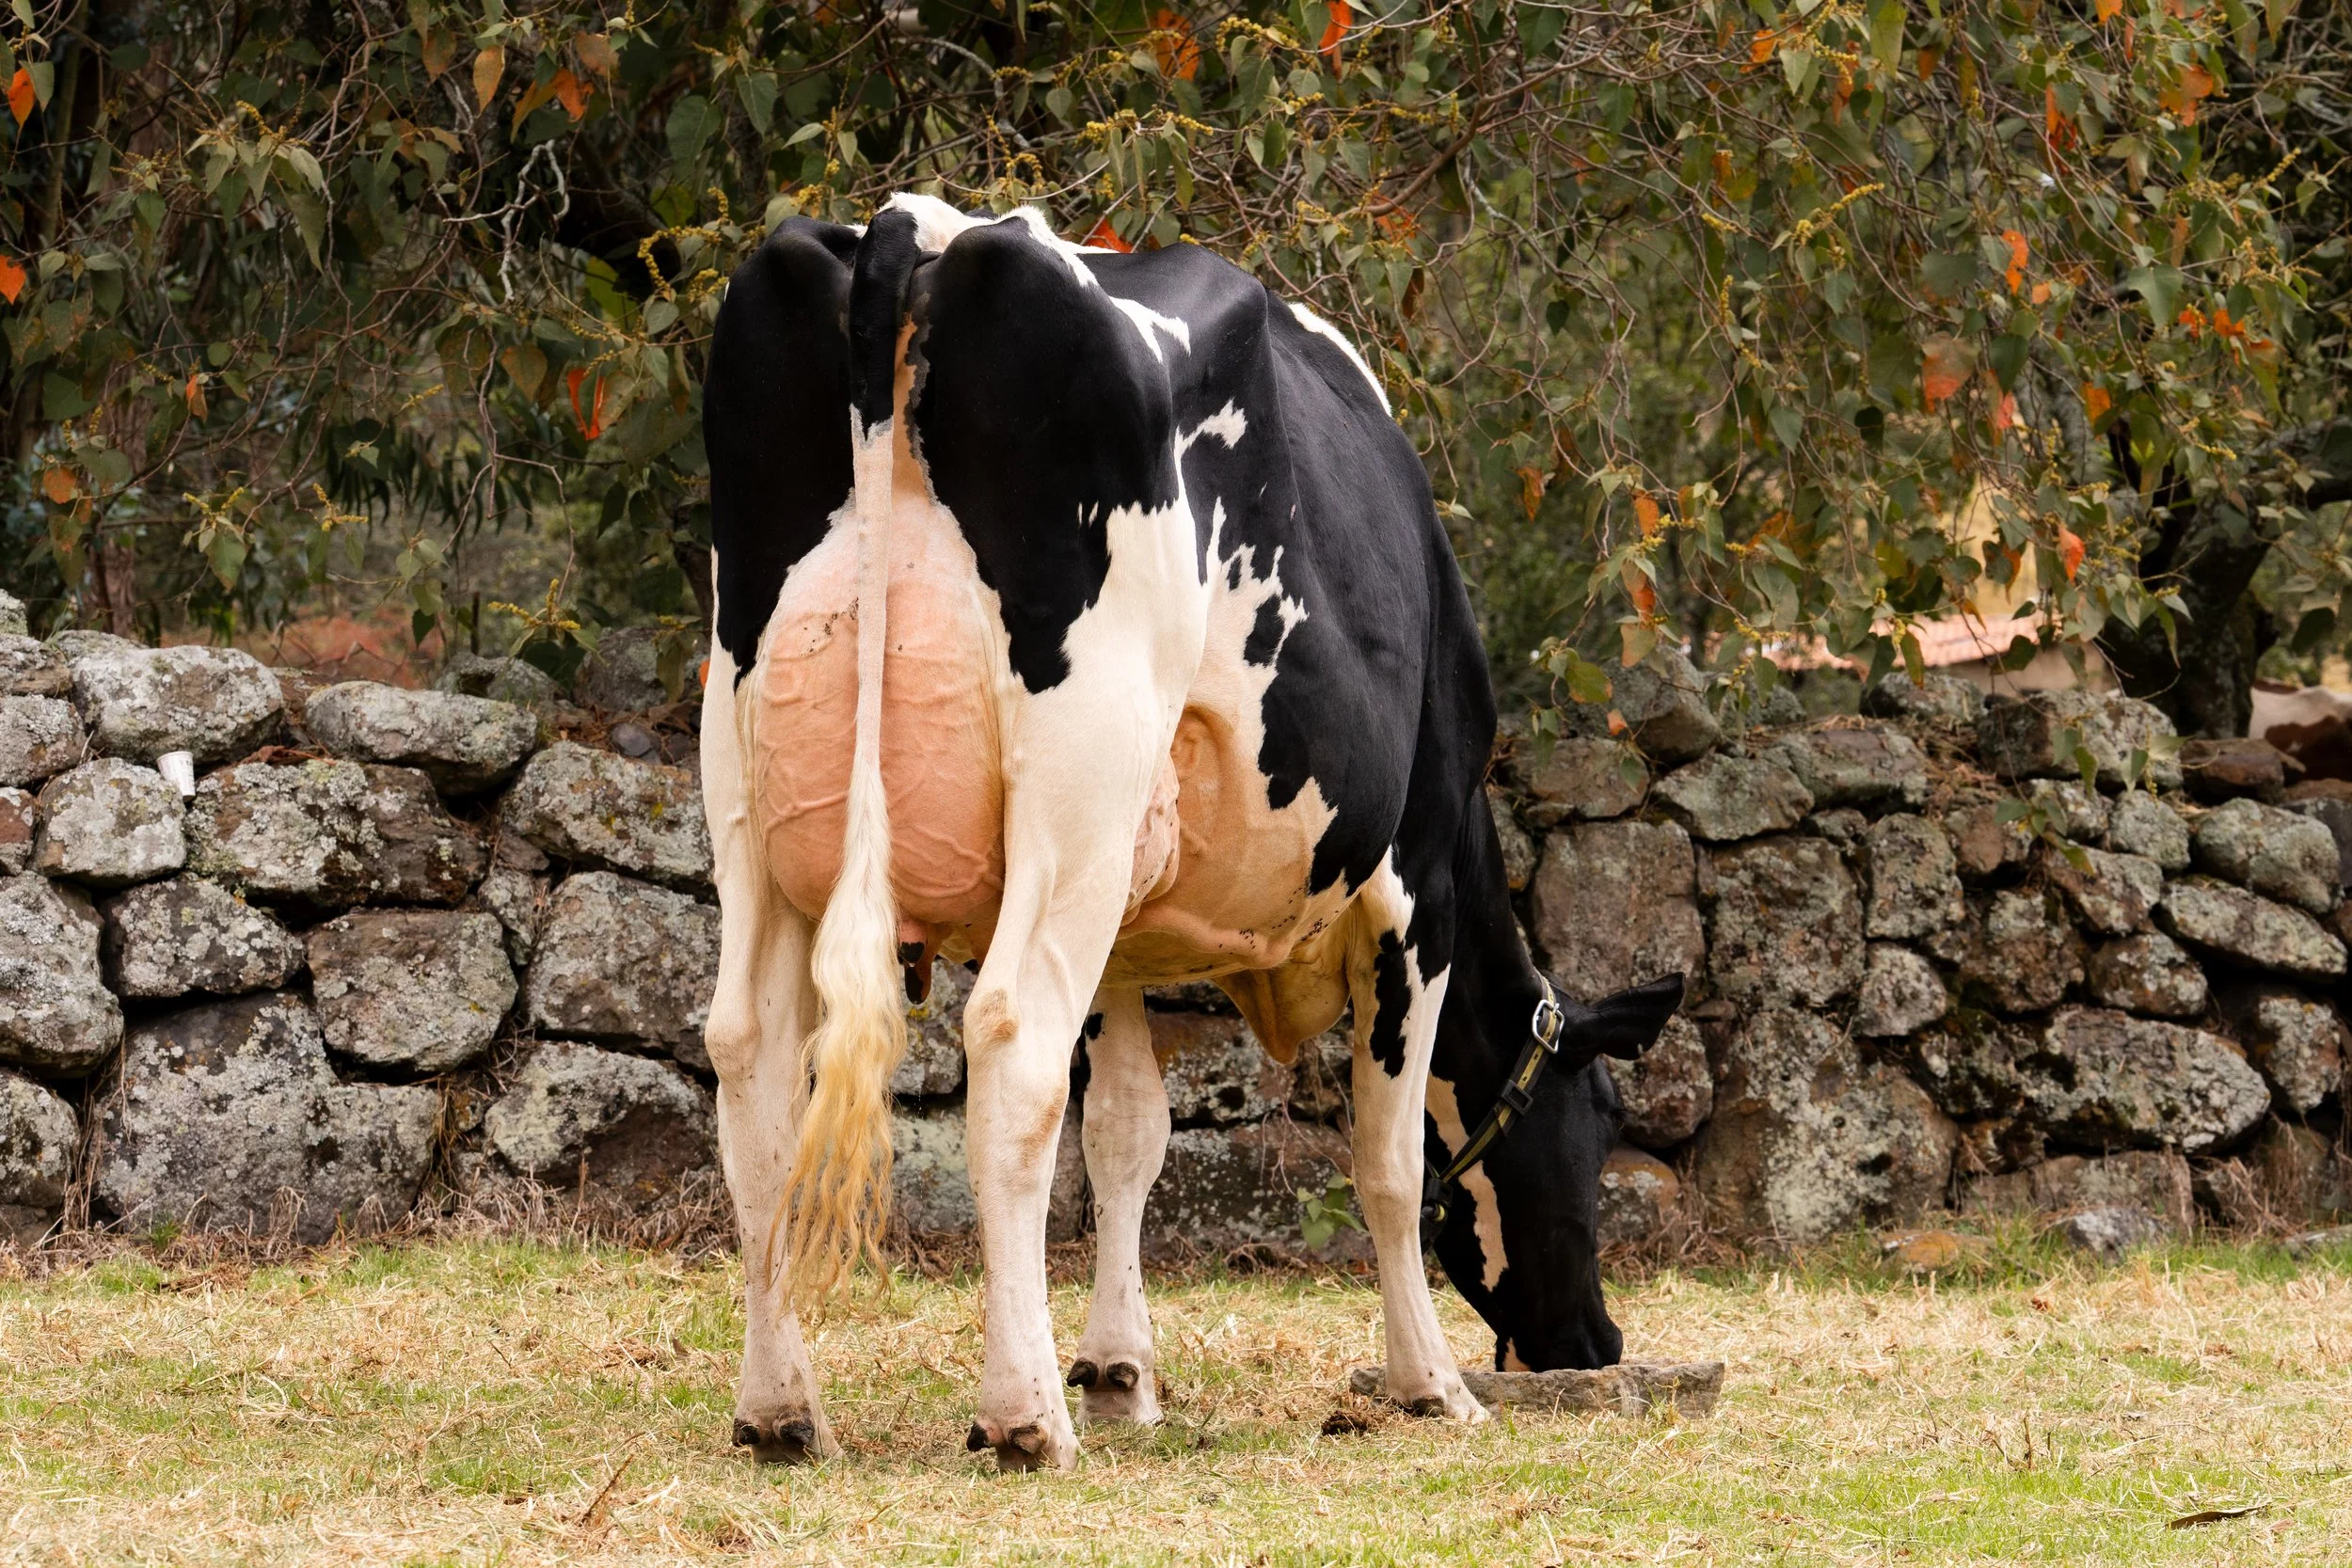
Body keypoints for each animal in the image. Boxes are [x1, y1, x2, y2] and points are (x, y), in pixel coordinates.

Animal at [698, 193, 1685, 1471]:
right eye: (1600, 1117)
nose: (1594, 1342)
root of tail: (912, 230)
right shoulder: (1413, 886)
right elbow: (1386, 1154)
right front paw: (1426, 1384)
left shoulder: (1124, 921)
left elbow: (1128, 1131)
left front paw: (1121, 1369)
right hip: (1080, 769)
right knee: (1009, 1042)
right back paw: (1023, 1415)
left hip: (751, 776)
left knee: (754, 1057)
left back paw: (782, 1407)